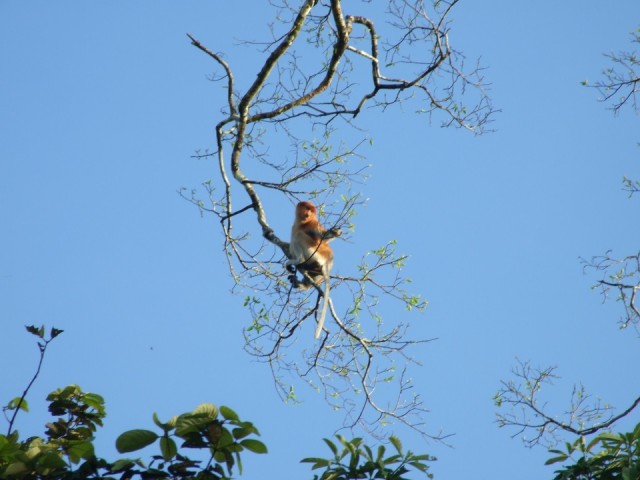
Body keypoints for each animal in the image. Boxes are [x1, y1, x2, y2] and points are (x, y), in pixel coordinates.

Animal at [286, 201, 341, 339]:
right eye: (306, 208)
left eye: (311, 210)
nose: (308, 214)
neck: (301, 222)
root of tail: (327, 261)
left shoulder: (313, 224)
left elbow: (324, 235)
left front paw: (335, 231)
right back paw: (302, 282)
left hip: (313, 252)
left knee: (299, 236)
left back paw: (298, 261)